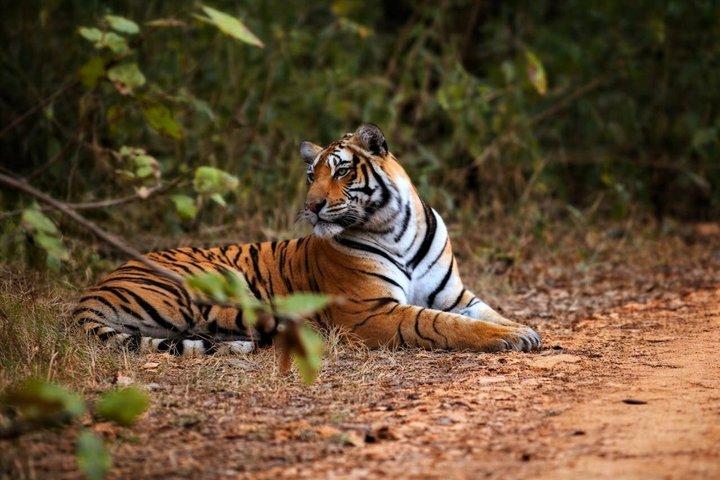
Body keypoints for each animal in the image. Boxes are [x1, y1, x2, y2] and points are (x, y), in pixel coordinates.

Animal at [73, 124, 541, 356]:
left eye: (341, 171)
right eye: (310, 176)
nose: (311, 206)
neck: (396, 228)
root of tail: (94, 289)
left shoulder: (455, 294)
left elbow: (487, 313)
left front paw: (523, 329)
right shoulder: (371, 311)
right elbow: (441, 324)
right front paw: (509, 338)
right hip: (215, 286)